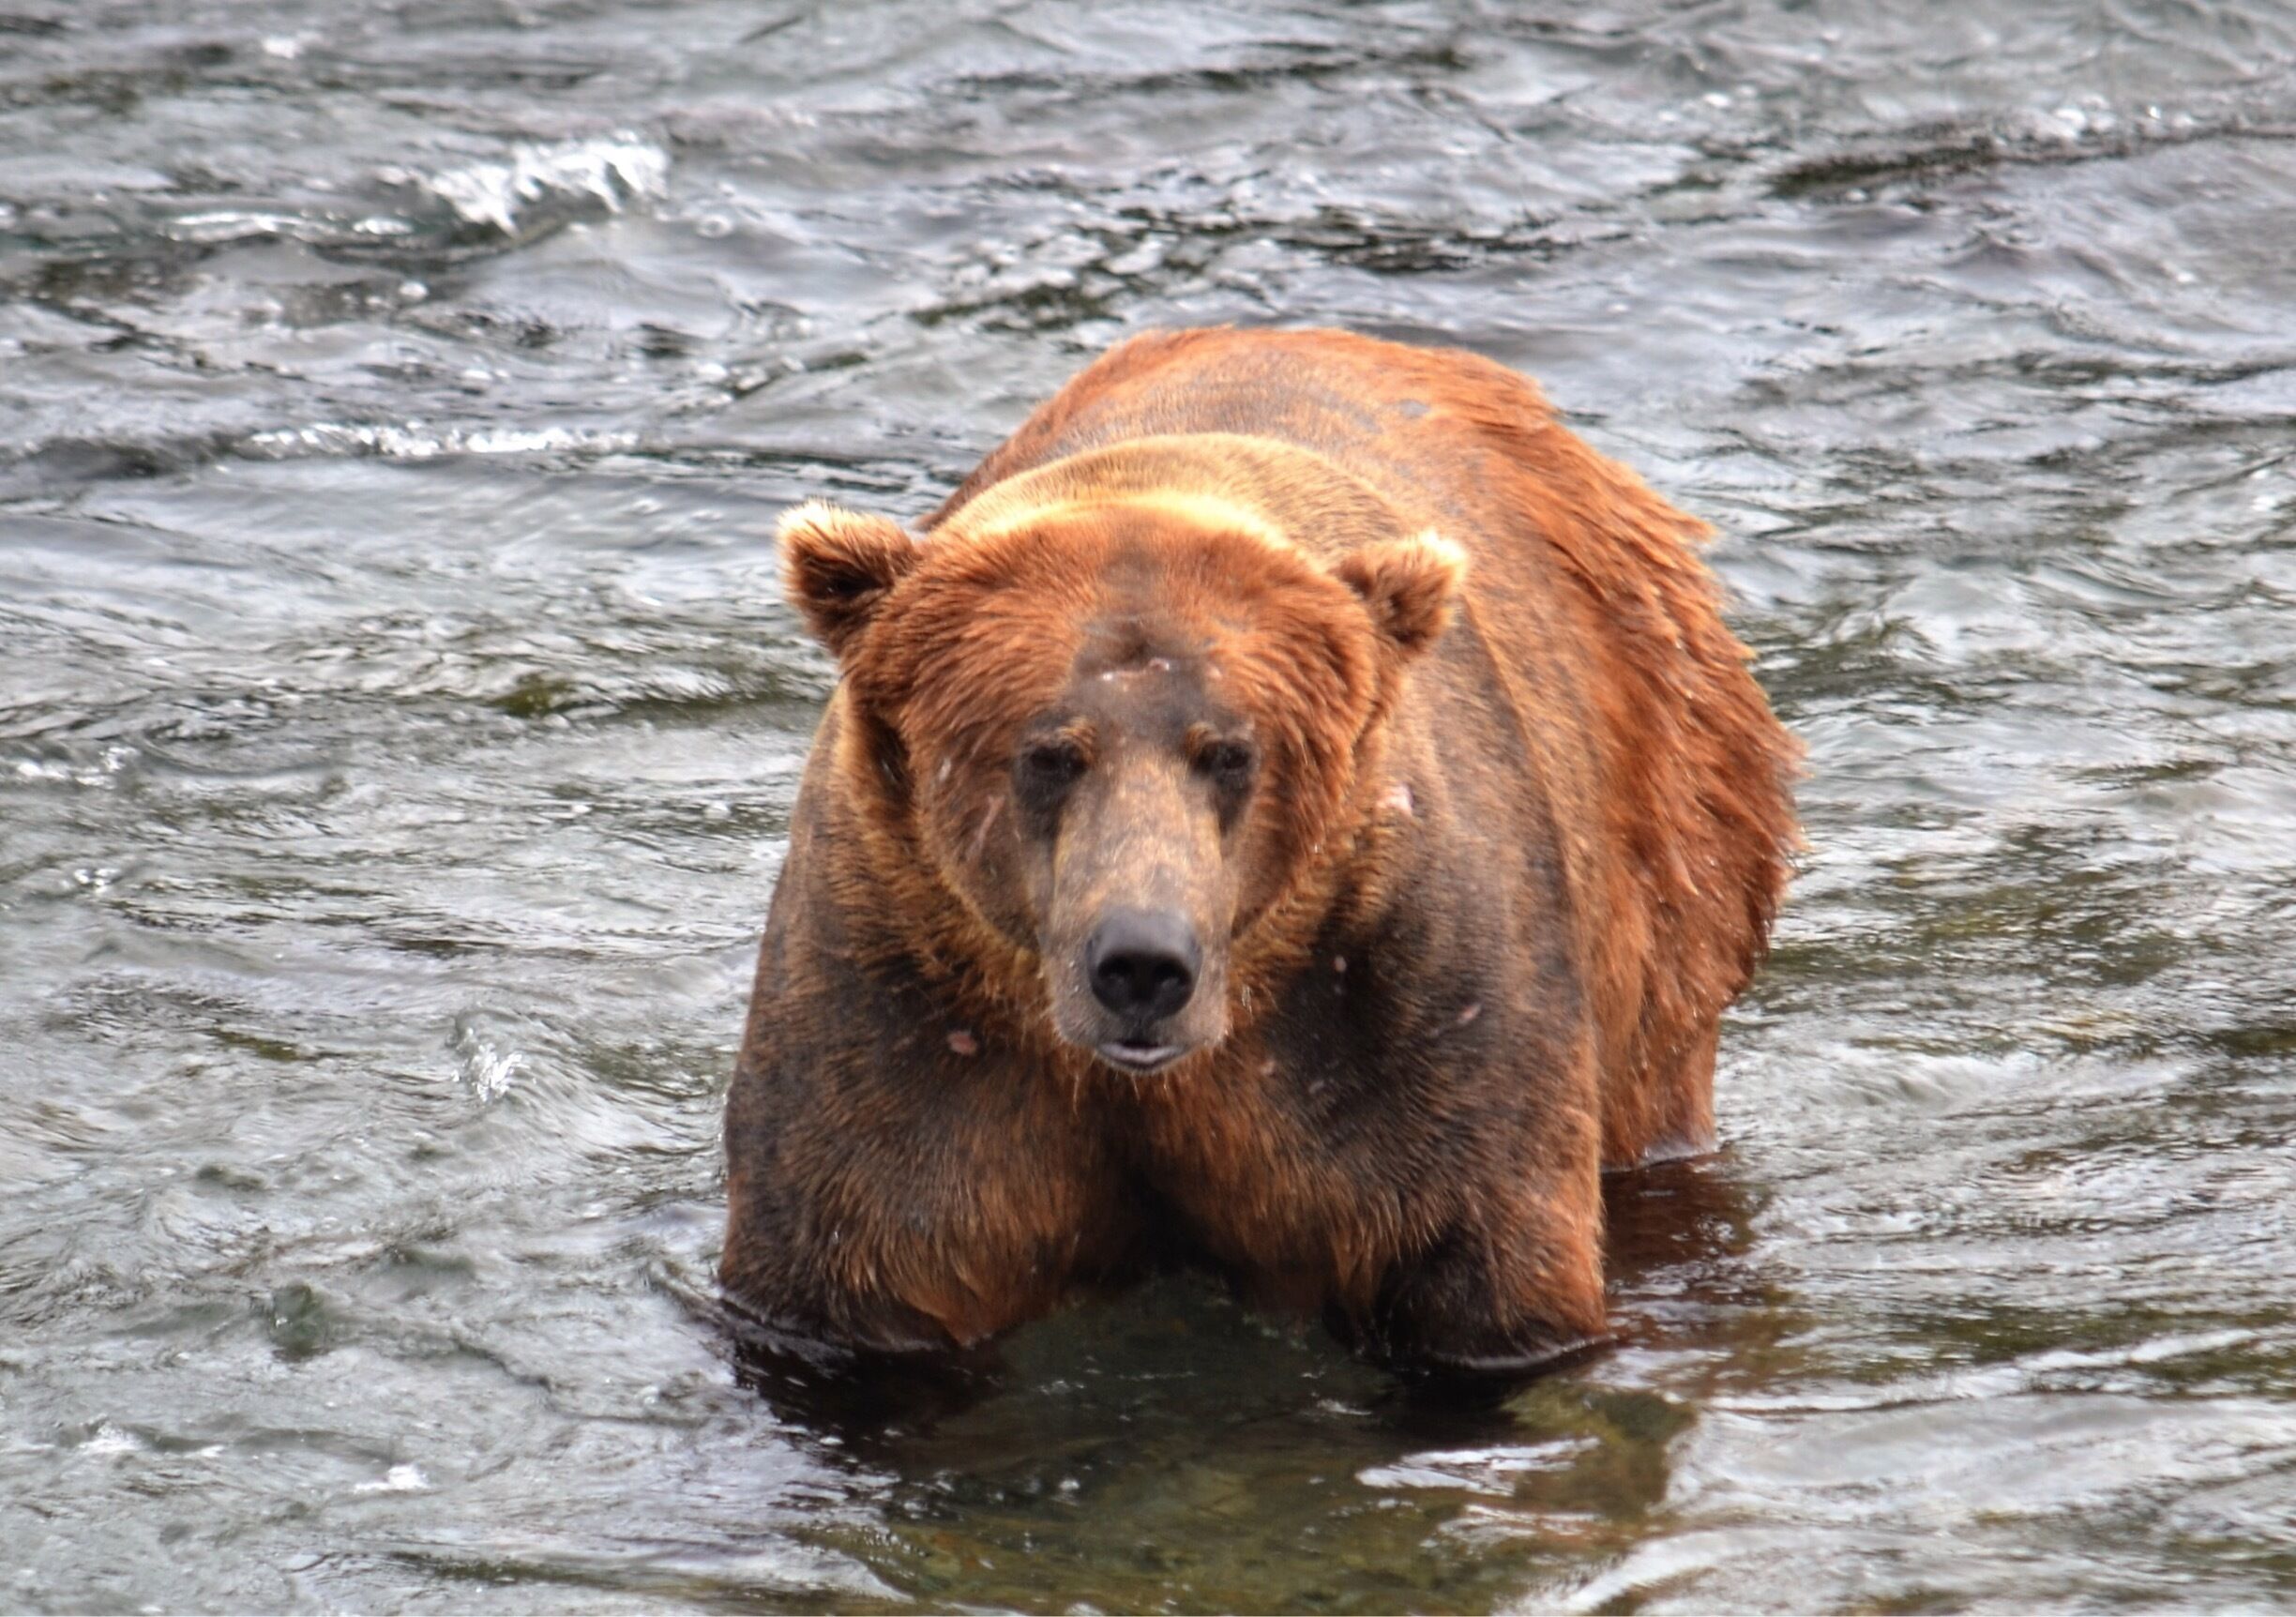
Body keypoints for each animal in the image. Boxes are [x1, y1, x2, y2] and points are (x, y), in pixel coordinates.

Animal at [721, 328, 1798, 1373]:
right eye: (1048, 752)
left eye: (1231, 751)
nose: (1142, 964)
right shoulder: (901, 995)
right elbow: (863, 1267)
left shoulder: (1404, 995)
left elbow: (1483, 1271)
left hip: (1672, 858)